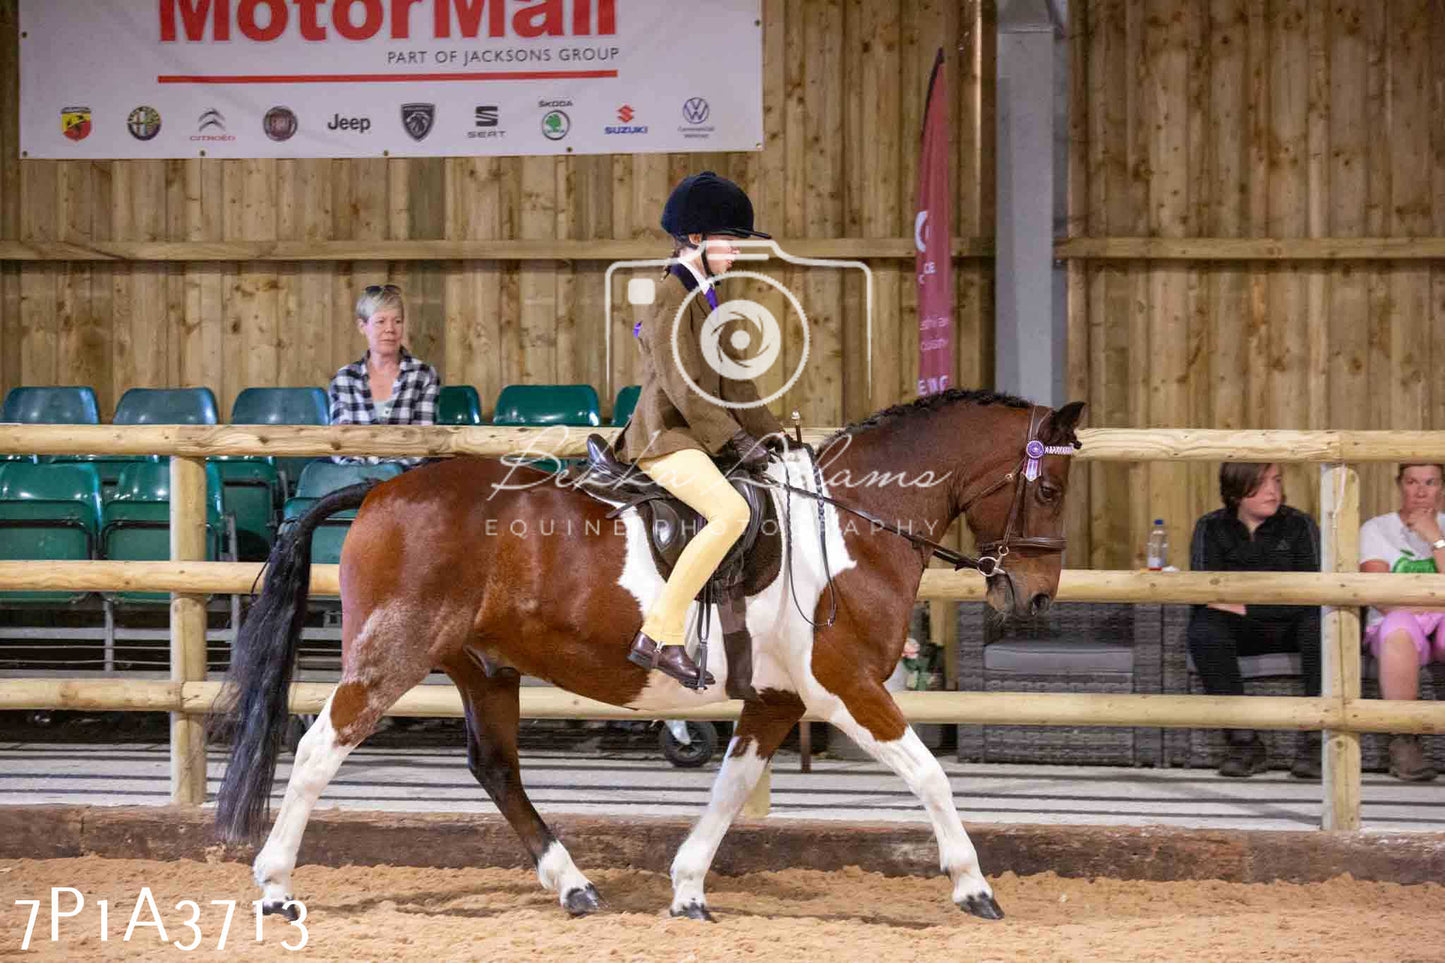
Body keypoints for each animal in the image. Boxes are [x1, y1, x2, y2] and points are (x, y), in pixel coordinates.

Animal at [213, 393, 1086, 925]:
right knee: (320, 747)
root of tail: (378, 490)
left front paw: (689, 888)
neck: (848, 525)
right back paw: (275, 886)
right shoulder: (844, 685)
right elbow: (928, 772)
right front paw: (972, 884)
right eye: (1047, 490)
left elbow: (730, 788)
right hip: (392, 654)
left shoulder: (775, 699)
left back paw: (572, 884)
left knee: (495, 768)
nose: (1038, 595)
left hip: (483, 666)